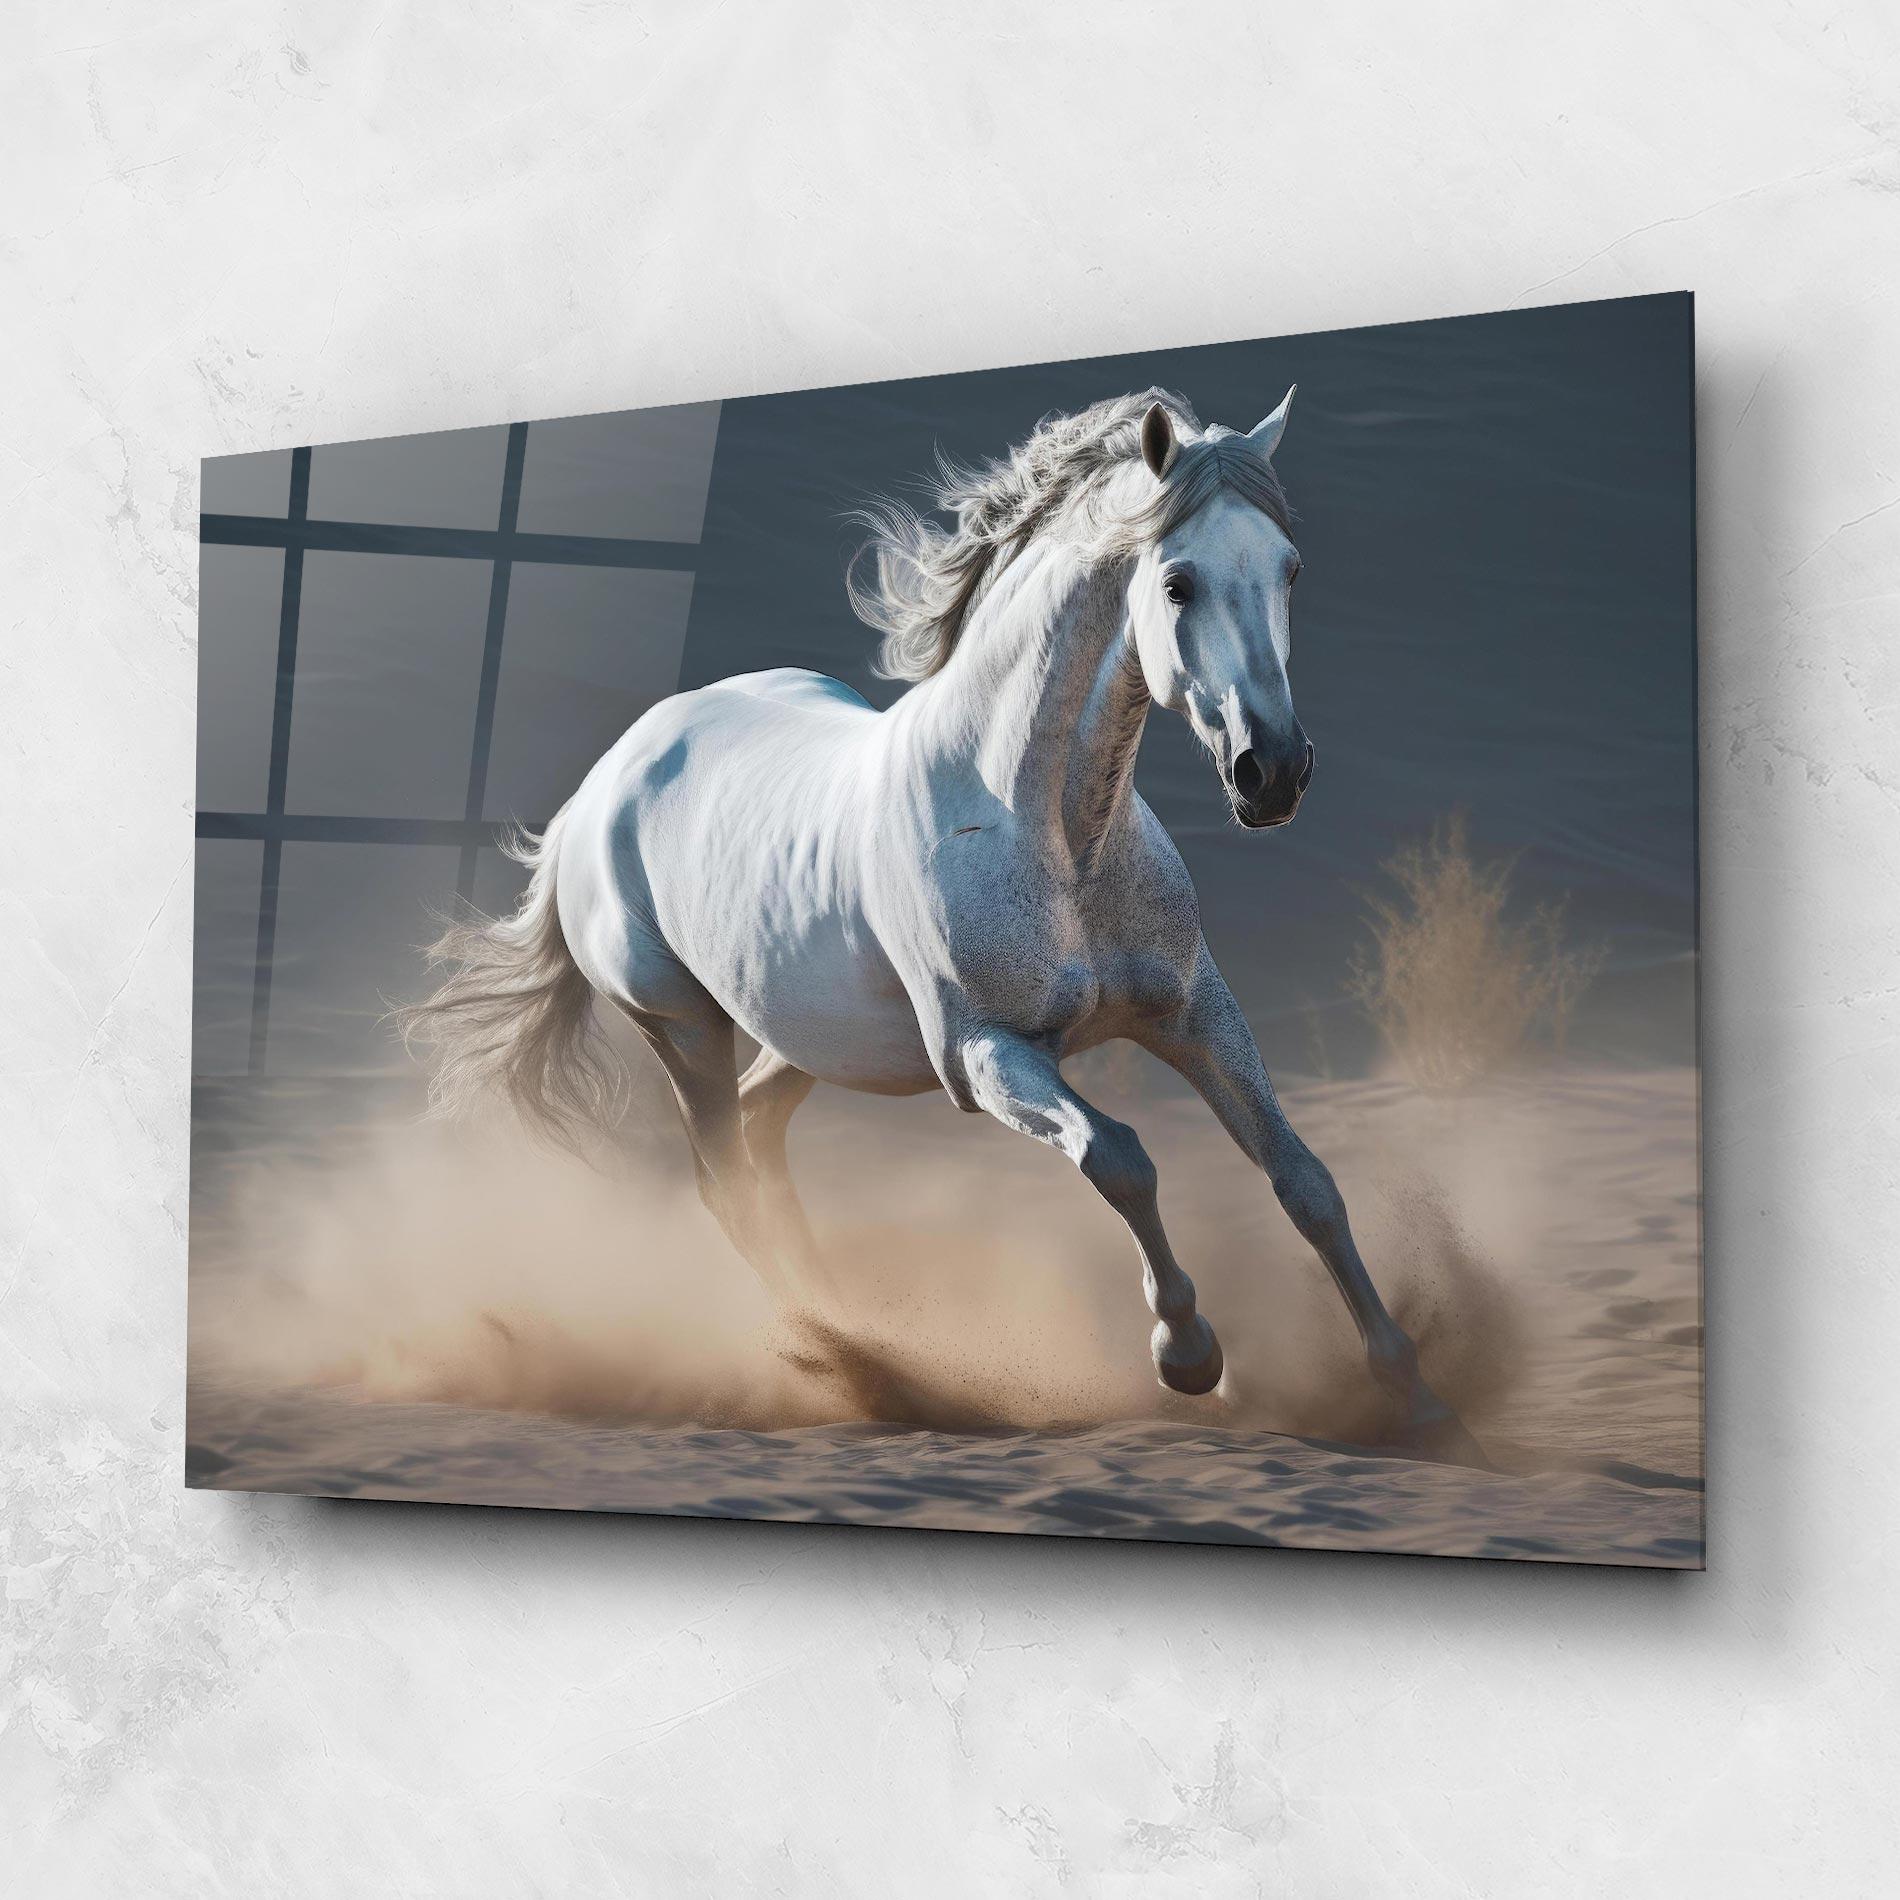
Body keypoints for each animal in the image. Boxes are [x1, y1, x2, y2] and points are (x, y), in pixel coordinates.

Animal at [401, 386, 1484, 1463]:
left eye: (1288, 568)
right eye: (1177, 583)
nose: (1275, 772)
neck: (1046, 830)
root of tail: (599, 791)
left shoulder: (1194, 1015)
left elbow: (1305, 1181)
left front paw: (1413, 1392)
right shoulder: (986, 1055)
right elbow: (1122, 1158)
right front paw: (1187, 1356)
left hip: (810, 1036)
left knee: (760, 1139)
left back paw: (858, 1332)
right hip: (681, 1028)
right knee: (725, 1184)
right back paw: (858, 1361)